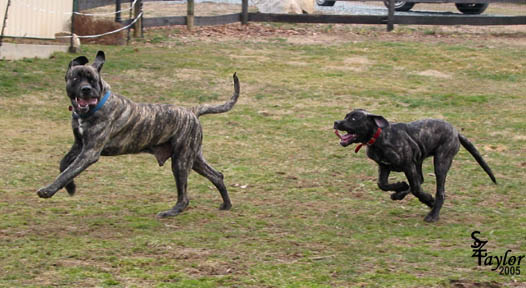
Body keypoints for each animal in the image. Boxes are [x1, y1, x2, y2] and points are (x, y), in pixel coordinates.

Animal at [37, 51, 241, 218]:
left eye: (92, 79)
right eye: (76, 78)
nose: (86, 89)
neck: (94, 107)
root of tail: (191, 111)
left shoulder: (89, 152)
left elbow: (68, 171)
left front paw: (49, 190)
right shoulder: (79, 145)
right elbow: (64, 165)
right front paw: (70, 187)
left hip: (181, 162)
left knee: (184, 197)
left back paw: (171, 212)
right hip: (193, 158)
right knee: (217, 175)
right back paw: (226, 205)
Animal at [336, 109, 498, 222]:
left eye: (354, 118)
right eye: (346, 115)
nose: (336, 122)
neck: (379, 137)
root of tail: (456, 132)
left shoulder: (408, 165)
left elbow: (415, 188)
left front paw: (427, 199)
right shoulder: (384, 166)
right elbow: (382, 184)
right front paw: (400, 186)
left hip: (441, 162)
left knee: (438, 191)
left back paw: (433, 213)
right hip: (419, 160)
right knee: (420, 180)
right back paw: (400, 194)